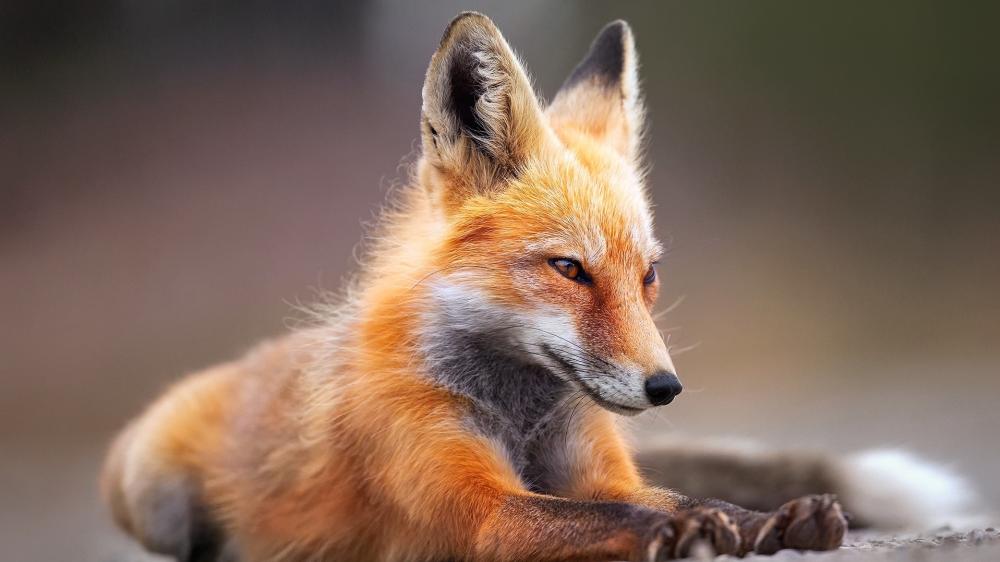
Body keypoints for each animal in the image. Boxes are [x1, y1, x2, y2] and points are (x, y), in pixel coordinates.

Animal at [101, 12, 982, 562]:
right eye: (569, 269)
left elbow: (659, 493)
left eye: (647, 276)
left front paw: (766, 519)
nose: (665, 387)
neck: (519, 412)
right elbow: (611, 515)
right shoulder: (476, 511)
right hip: (152, 492)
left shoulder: (599, 465)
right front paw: (690, 532)